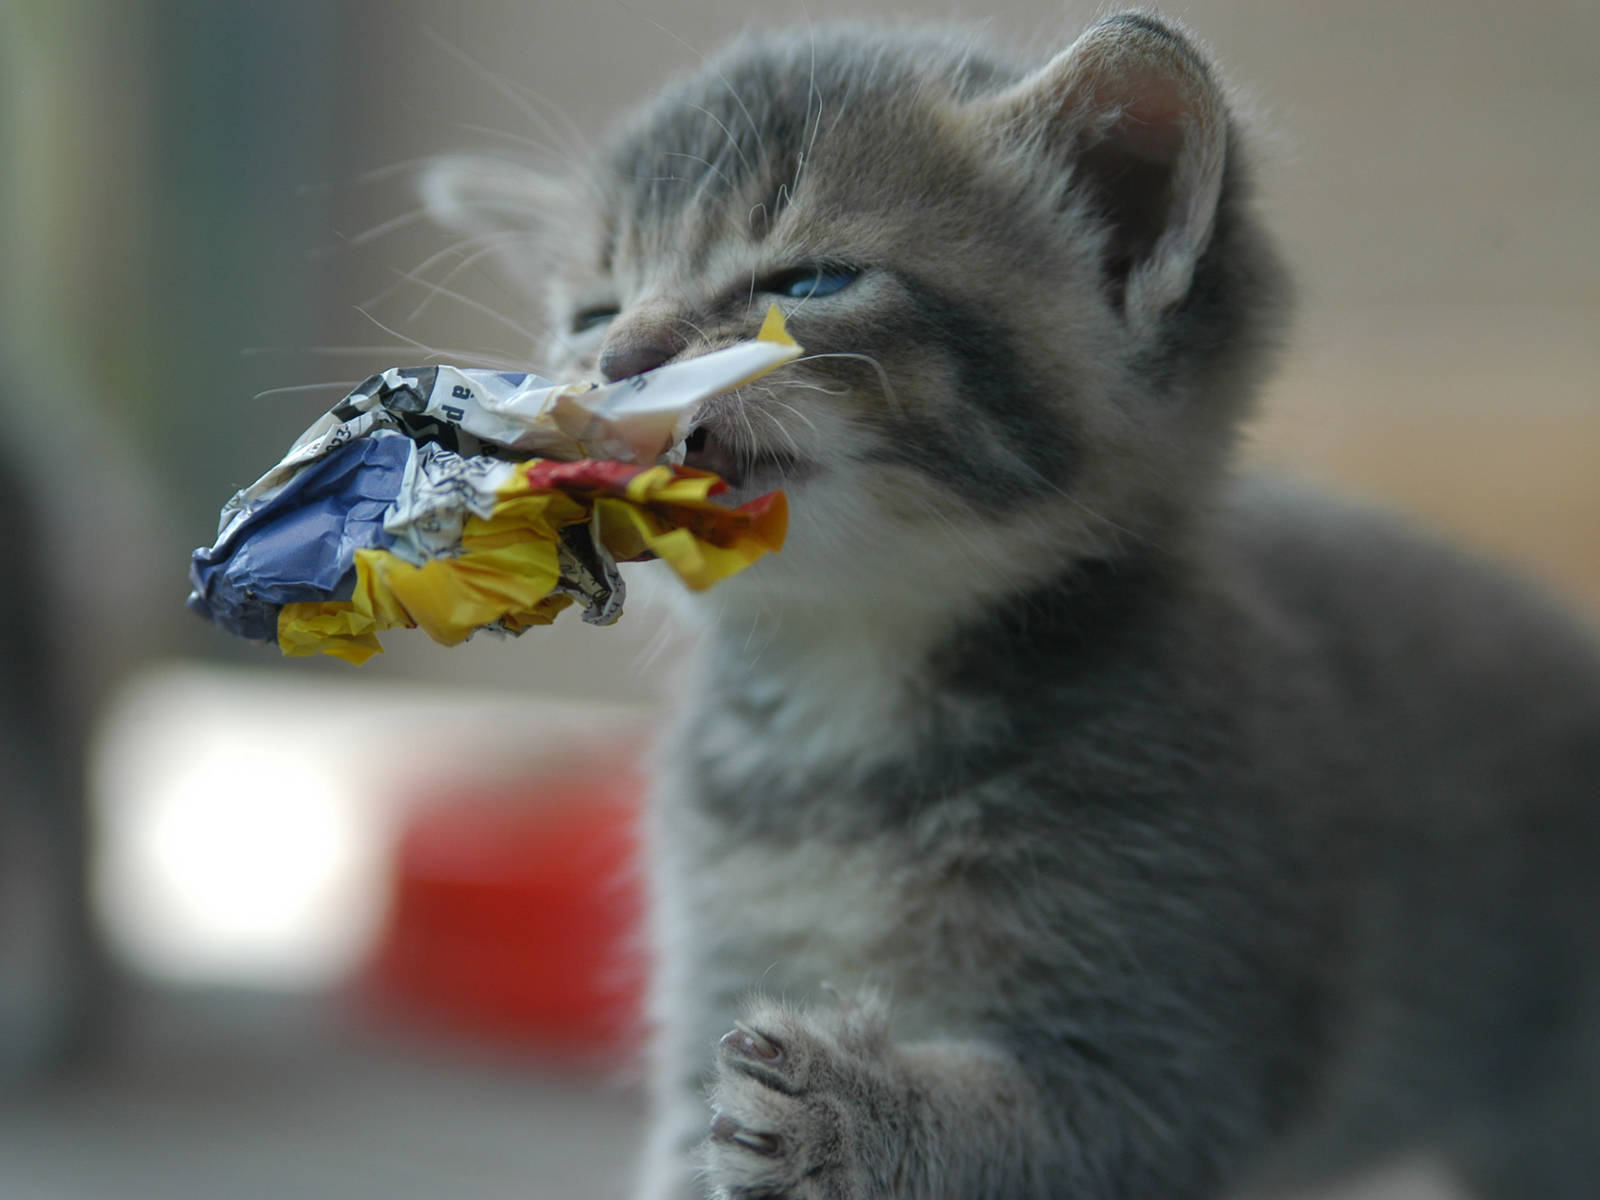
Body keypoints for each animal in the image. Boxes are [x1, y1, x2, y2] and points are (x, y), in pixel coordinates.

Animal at [425, 11, 1600, 1200]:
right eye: (592, 314)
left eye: (810, 281)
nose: (620, 357)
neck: (843, 697)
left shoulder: (1179, 1036)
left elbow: (1041, 1135)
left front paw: (852, 1117)